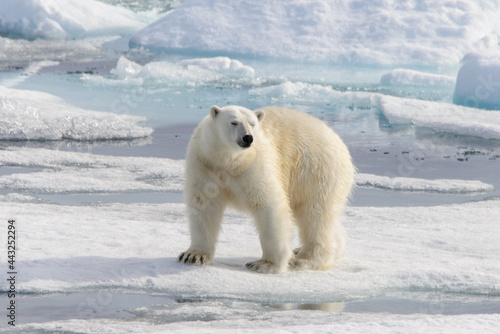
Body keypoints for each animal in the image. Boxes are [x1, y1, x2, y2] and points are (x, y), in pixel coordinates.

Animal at [178, 105, 354, 274]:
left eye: (252, 124)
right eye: (234, 122)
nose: (248, 138)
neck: (229, 161)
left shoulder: (255, 164)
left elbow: (269, 205)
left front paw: (264, 264)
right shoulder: (205, 164)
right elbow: (204, 205)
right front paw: (193, 255)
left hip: (314, 170)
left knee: (314, 215)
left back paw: (304, 259)